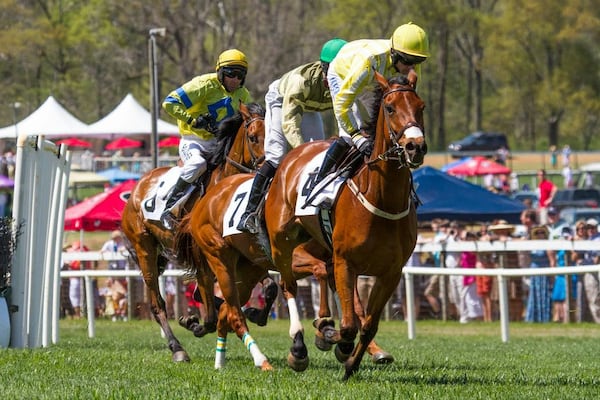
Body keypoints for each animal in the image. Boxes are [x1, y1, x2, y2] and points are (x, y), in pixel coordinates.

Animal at [120, 102, 264, 362]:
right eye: (252, 137)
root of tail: (137, 187)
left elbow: (267, 287)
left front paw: (255, 312)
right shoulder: (203, 255)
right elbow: (209, 316)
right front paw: (194, 322)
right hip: (144, 248)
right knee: (157, 304)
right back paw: (177, 348)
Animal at [266, 70, 426, 380]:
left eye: (421, 107)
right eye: (390, 108)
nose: (415, 146)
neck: (382, 199)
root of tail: (293, 155)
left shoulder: (390, 272)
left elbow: (368, 325)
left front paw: (351, 363)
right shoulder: (345, 262)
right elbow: (349, 326)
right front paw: (331, 337)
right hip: (281, 243)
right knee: (288, 285)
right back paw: (299, 348)